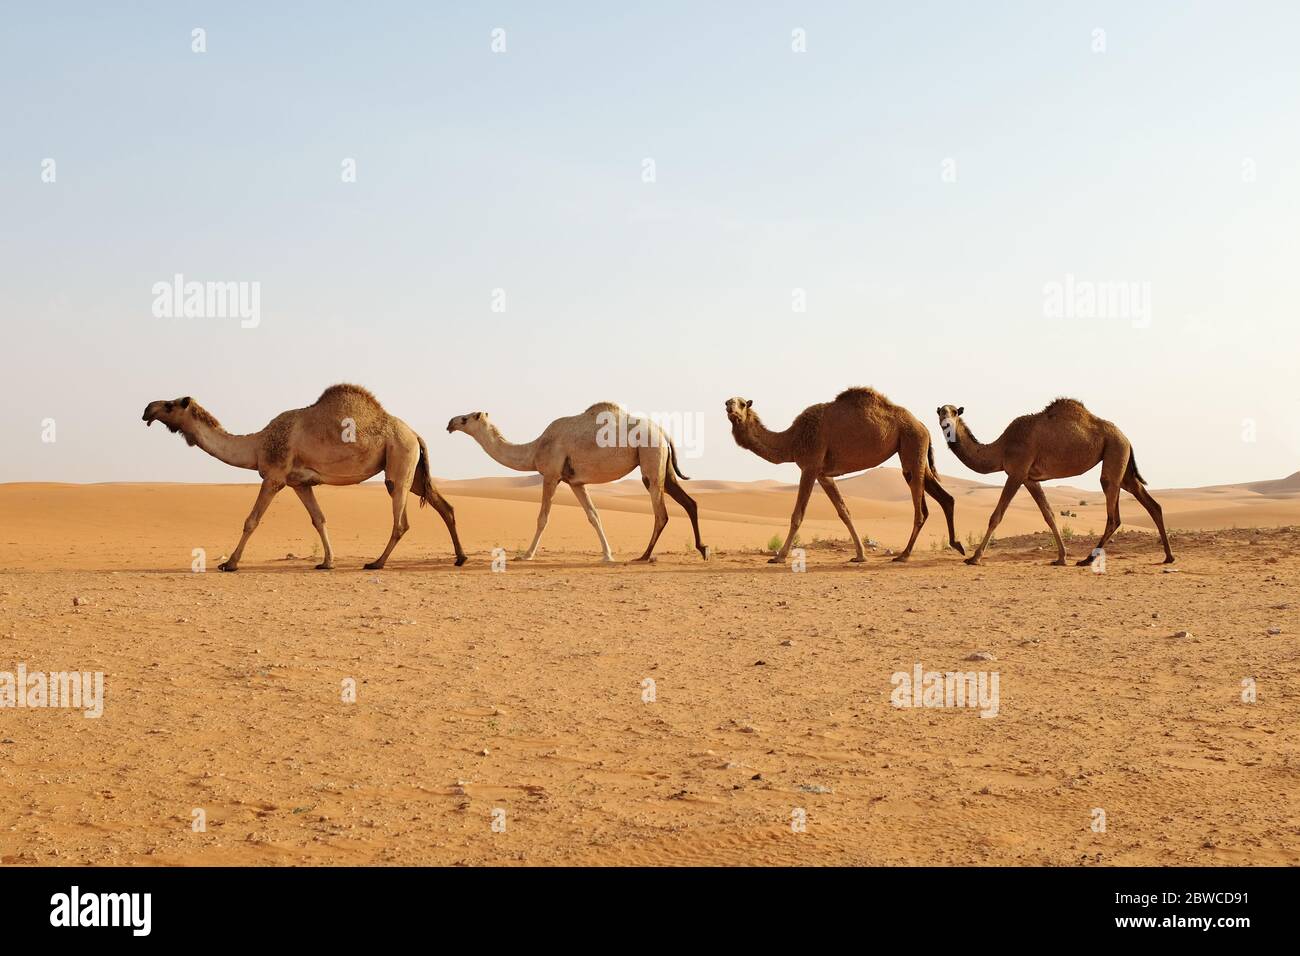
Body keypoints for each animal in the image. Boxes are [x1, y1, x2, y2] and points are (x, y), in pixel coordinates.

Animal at [141, 385, 467, 572]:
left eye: (169, 405)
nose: (147, 409)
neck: (258, 444)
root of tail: (415, 433)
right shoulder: (299, 483)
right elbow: (319, 519)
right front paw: (326, 562)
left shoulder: (274, 476)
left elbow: (251, 520)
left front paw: (230, 563)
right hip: (413, 470)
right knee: (444, 505)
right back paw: (460, 558)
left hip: (399, 458)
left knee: (401, 520)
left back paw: (377, 563)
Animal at [447, 403, 712, 564]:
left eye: (465, 418)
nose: (450, 423)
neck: (535, 449)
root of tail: (663, 432)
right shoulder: (575, 482)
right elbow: (593, 515)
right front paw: (607, 555)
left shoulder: (551, 475)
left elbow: (542, 518)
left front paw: (526, 555)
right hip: (663, 464)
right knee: (689, 502)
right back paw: (703, 549)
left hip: (650, 456)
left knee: (661, 513)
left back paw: (645, 555)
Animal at [728, 390, 961, 564]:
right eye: (727, 403)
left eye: (742, 403)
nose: (731, 409)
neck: (792, 440)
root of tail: (922, 425)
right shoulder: (824, 474)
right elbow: (844, 511)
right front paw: (860, 555)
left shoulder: (810, 466)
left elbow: (798, 515)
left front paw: (780, 557)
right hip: (914, 452)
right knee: (945, 498)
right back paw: (957, 545)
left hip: (912, 445)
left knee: (920, 510)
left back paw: (904, 555)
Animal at [935, 398, 1180, 564]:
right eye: (940, 412)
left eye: (954, 412)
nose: (946, 423)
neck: (1001, 448)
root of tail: (1127, 438)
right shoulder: (1029, 478)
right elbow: (1049, 515)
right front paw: (1061, 557)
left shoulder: (1016, 472)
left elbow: (996, 515)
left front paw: (974, 557)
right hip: (1122, 463)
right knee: (1151, 504)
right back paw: (1168, 556)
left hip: (1114, 451)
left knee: (1113, 513)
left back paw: (1088, 560)